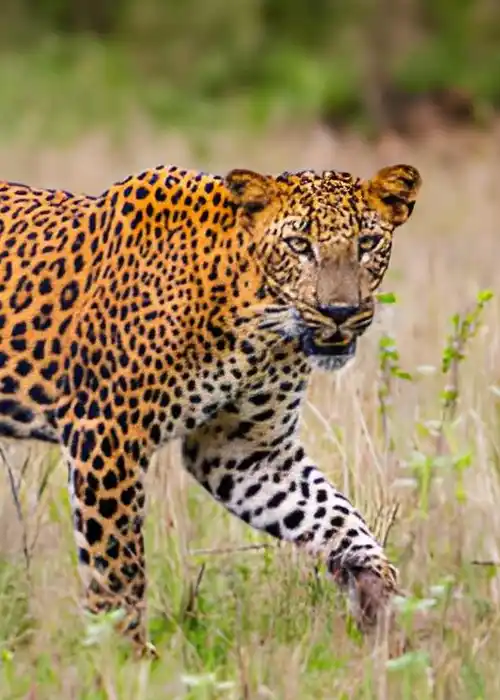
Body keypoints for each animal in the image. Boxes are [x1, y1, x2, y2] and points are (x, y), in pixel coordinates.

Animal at [0, 161, 421, 658]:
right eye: (299, 245)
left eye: (368, 243)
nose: (340, 311)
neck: (259, 322)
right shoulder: (106, 433)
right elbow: (118, 569)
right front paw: (128, 659)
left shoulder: (246, 451)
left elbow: (336, 518)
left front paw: (382, 608)